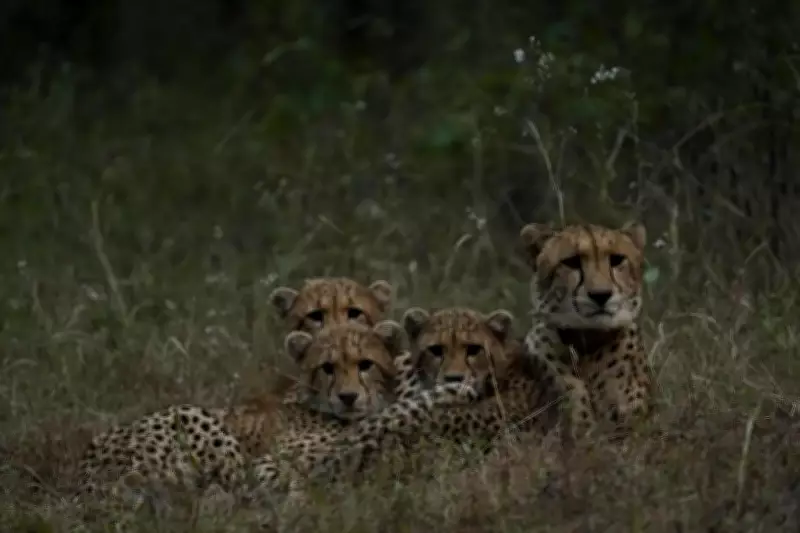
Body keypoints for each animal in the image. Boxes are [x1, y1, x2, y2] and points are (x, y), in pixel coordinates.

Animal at [74, 320, 417, 503]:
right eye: (327, 368)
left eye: (365, 364)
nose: (348, 397)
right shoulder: (266, 463)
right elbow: (291, 481)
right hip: (198, 419)